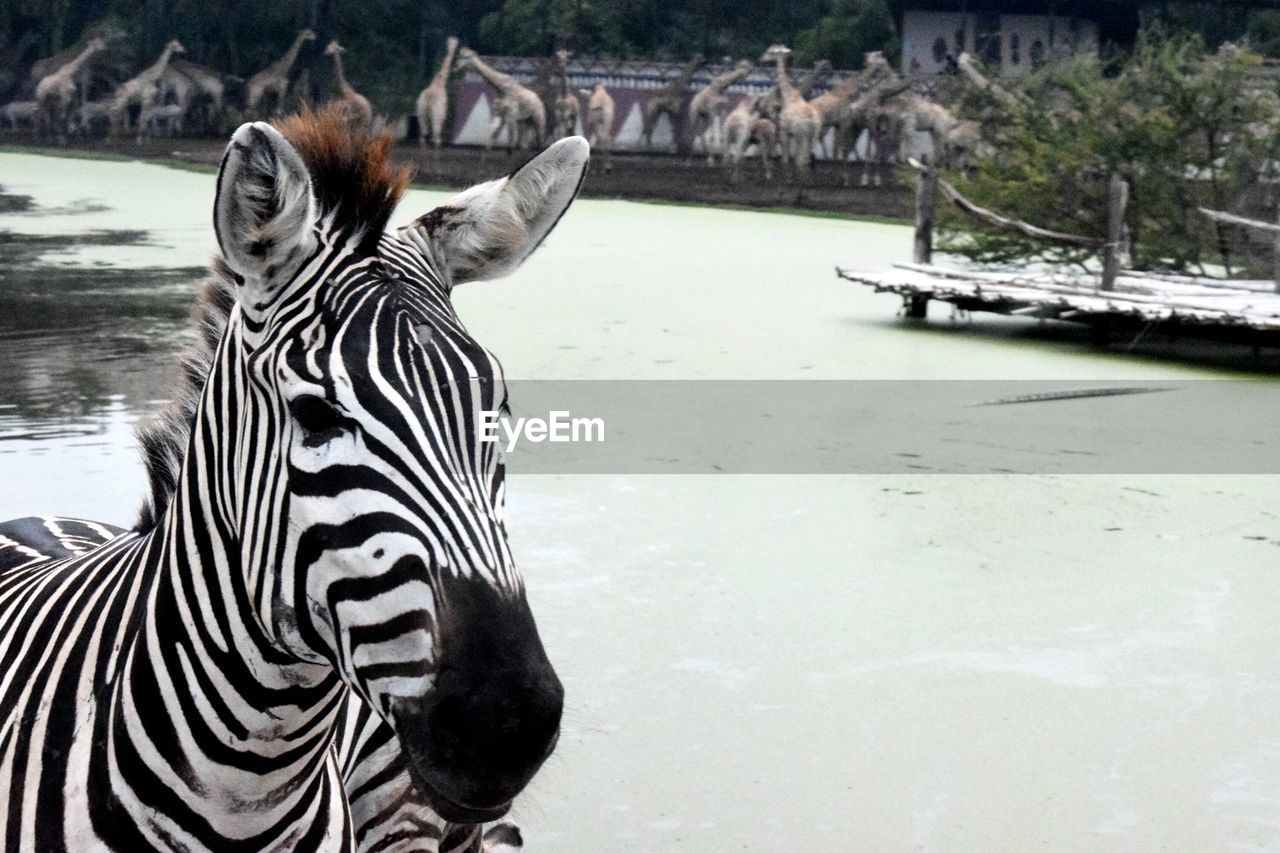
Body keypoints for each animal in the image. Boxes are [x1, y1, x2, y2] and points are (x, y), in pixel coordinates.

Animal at [757, 43, 819, 180]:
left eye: (770, 52)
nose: (761, 58)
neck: (787, 94)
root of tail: (813, 121)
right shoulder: (791, 133)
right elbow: (791, 157)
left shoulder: (785, 131)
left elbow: (786, 159)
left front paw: (787, 178)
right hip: (813, 136)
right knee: (808, 159)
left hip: (803, 135)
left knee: (803, 160)